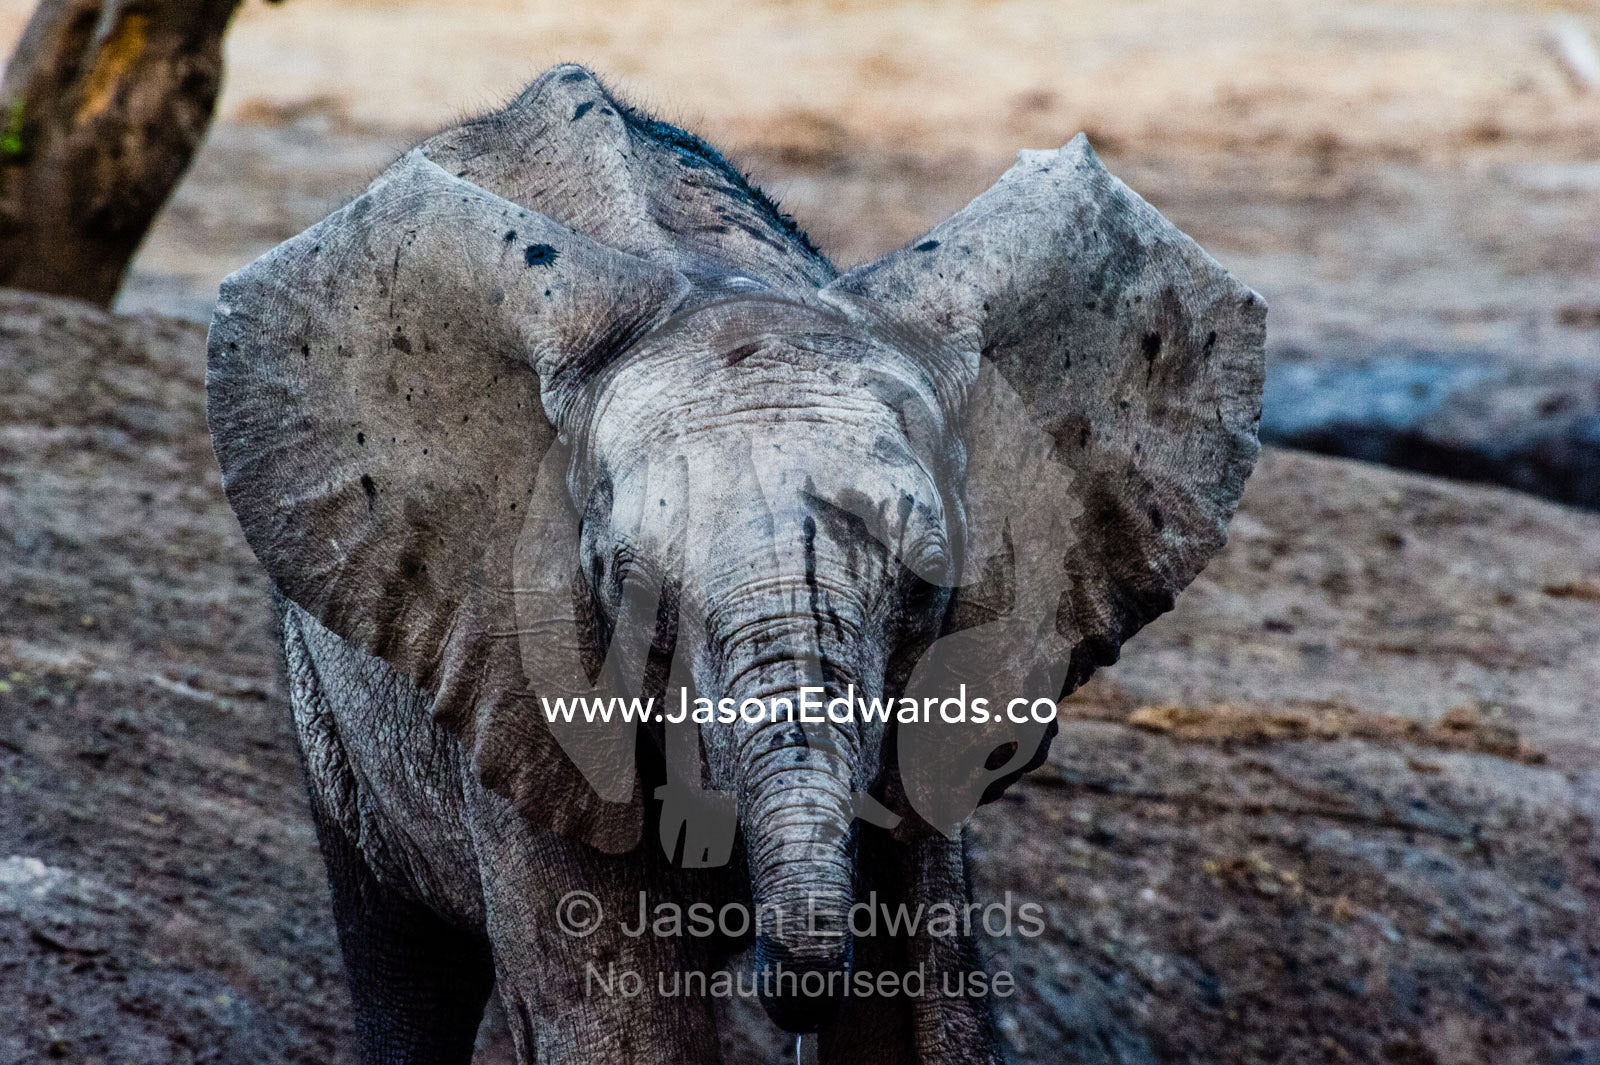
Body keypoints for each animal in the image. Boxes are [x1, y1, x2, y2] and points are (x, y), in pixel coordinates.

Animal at [206, 64, 1264, 1064]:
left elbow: (925, 1010)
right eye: (632, 593)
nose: (783, 976)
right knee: (403, 961)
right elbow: (619, 1022)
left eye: (927, 585)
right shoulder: (523, 664)